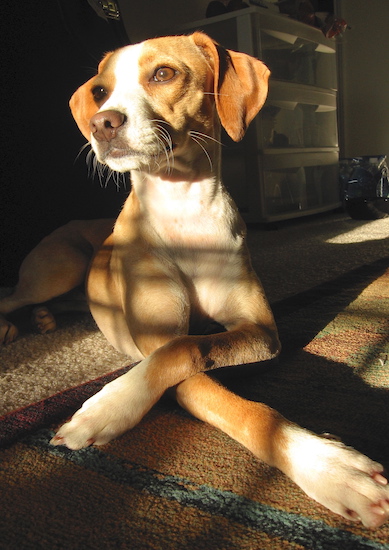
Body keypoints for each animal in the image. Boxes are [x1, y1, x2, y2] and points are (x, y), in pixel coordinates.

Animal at [0, 33, 388, 532]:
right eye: (101, 91)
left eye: (164, 73)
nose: (102, 124)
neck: (184, 209)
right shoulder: (155, 336)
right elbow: (182, 360)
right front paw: (106, 407)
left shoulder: (260, 330)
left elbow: (188, 349)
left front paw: (329, 467)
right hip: (59, 266)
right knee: (11, 297)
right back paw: (15, 326)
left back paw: (45, 320)